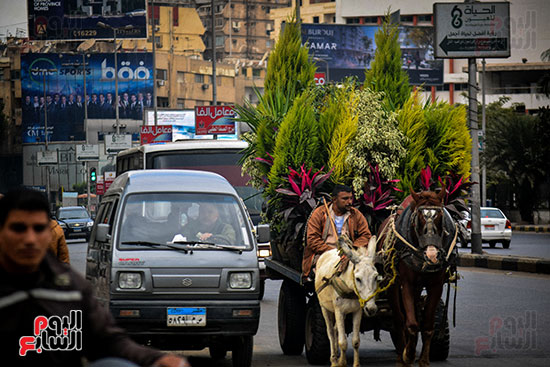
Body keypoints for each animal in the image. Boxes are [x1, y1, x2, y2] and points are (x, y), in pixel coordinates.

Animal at [380, 190, 462, 367]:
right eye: (419, 217)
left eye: (440, 216)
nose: (432, 254)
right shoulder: (406, 284)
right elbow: (410, 324)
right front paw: (408, 355)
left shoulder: (436, 285)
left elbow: (427, 326)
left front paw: (424, 360)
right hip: (392, 284)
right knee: (399, 319)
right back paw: (401, 355)